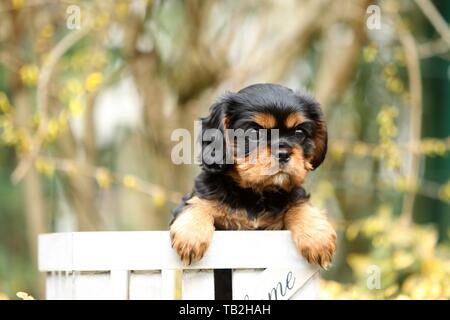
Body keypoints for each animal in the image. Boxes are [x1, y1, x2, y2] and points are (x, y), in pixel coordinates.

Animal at [171, 83, 336, 268]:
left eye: (299, 133)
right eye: (253, 133)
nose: (283, 154)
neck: (255, 193)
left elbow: (299, 205)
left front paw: (317, 236)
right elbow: (197, 204)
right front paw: (191, 235)